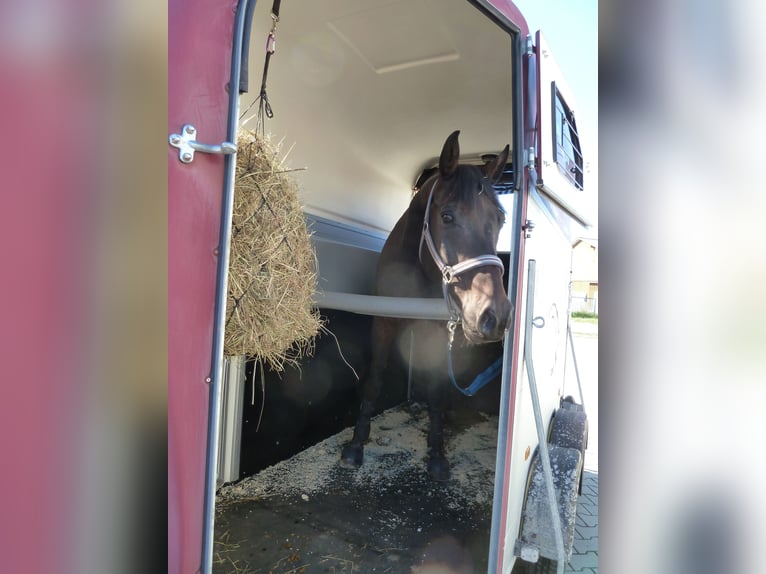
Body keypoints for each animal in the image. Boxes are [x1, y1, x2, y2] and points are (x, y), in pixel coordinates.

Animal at [340, 130, 513, 481]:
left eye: (501, 220)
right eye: (447, 216)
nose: (496, 316)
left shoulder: (437, 330)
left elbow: (437, 386)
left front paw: (436, 451)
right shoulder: (383, 322)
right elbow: (375, 379)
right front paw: (356, 444)